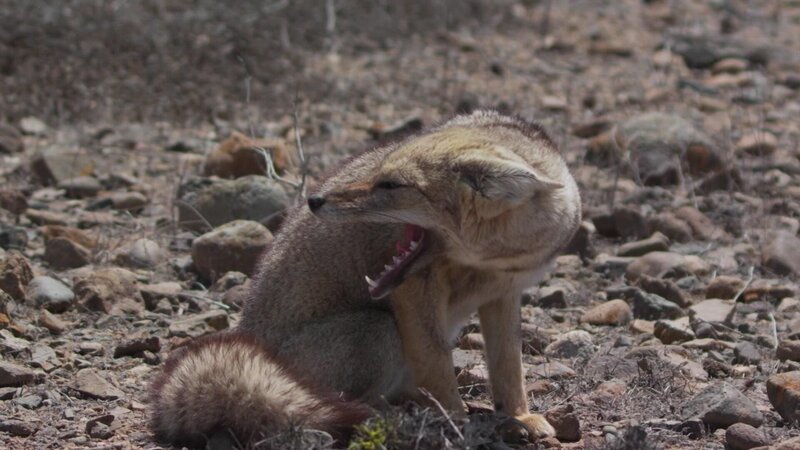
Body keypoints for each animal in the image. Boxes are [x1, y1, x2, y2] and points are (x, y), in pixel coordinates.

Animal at [149, 110, 582, 448]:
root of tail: (249, 339)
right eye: (377, 172)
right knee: (346, 402)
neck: (492, 259)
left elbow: (509, 367)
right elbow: (436, 363)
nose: (314, 200)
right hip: (380, 329)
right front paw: (456, 423)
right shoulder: (414, 292)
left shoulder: (504, 294)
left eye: (391, 185)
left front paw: (519, 417)